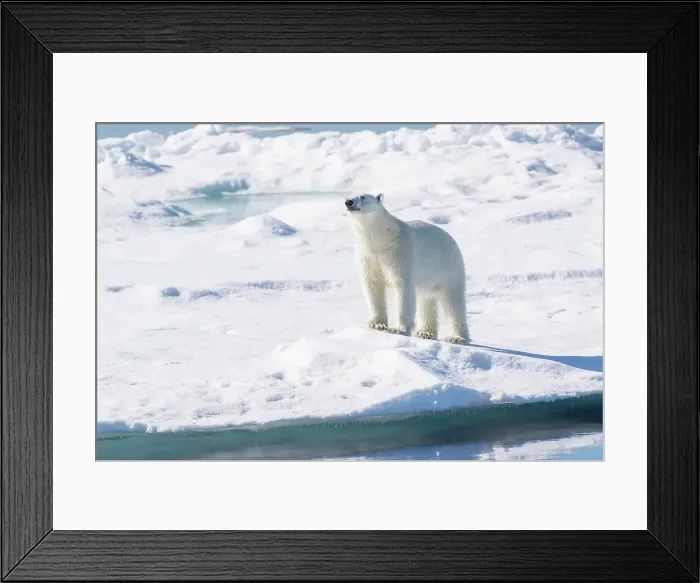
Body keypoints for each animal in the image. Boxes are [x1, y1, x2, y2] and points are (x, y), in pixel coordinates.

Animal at [345, 193, 470, 344]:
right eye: (349, 196)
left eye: (362, 196)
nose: (349, 202)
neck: (379, 241)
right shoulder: (367, 256)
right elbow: (372, 285)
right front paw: (377, 324)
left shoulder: (399, 254)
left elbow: (402, 287)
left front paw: (398, 329)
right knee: (427, 299)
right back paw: (425, 333)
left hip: (449, 269)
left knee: (453, 302)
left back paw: (456, 337)